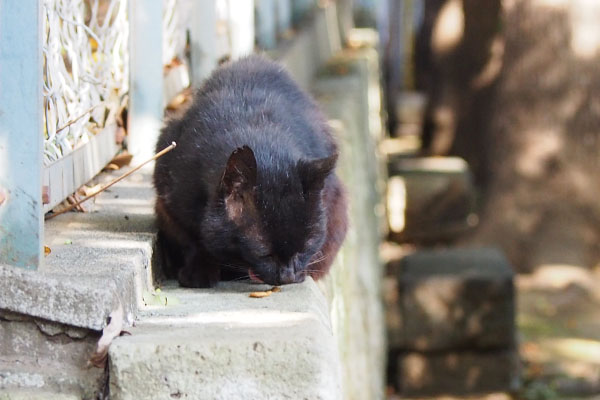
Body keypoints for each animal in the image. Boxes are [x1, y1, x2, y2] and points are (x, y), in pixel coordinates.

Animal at [152, 56, 346, 288]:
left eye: (304, 249)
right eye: (264, 253)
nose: (287, 275)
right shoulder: (169, 196)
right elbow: (190, 239)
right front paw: (199, 271)